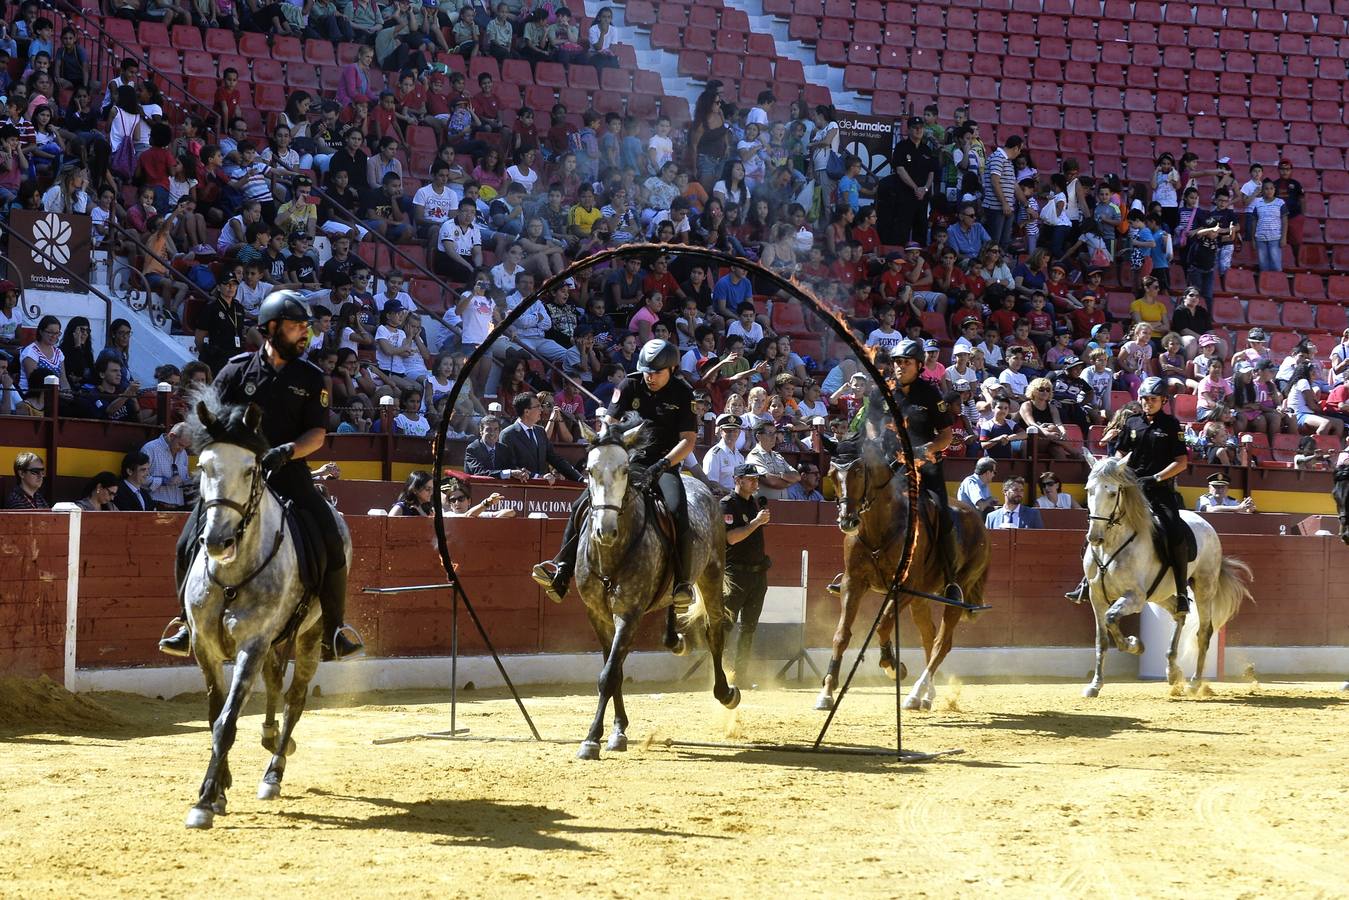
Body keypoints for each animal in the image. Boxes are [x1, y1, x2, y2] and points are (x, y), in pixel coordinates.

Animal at [182, 394, 350, 831]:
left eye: (250, 469)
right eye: (203, 467)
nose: (218, 541)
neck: (231, 575)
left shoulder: (253, 644)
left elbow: (225, 723)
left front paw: (204, 801)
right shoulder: (205, 647)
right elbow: (215, 716)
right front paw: (219, 790)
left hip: (309, 636)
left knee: (295, 697)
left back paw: (274, 771)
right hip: (278, 641)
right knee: (275, 685)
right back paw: (272, 736)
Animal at [569, 415, 739, 761]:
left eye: (624, 470)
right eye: (590, 470)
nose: (605, 530)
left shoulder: (629, 614)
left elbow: (609, 674)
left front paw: (592, 740)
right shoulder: (598, 614)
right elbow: (614, 670)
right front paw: (617, 732)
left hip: (712, 574)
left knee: (715, 631)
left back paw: (726, 692)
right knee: (674, 604)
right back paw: (674, 638)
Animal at [809, 439, 992, 712]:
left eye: (859, 471)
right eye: (832, 473)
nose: (847, 521)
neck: (879, 526)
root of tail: (980, 523)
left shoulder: (903, 587)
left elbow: (883, 624)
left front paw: (892, 666)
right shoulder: (853, 583)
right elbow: (841, 635)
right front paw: (827, 692)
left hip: (954, 594)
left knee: (941, 643)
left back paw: (915, 694)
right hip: (921, 597)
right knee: (929, 636)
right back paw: (927, 695)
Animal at [1073, 453, 1251, 701]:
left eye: (1112, 492)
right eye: (1089, 490)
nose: (1095, 537)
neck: (1112, 546)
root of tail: (1203, 522)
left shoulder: (1135, 597)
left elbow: (1111, 618)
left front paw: (1135, 644)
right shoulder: (1097, 597)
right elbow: (1102, 640)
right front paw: (1095, 685)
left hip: (1204, 587)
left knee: (1203, 632)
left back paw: (1194, 683)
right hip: (1159, 594)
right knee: (1179, 614)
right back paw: (1172, 671)